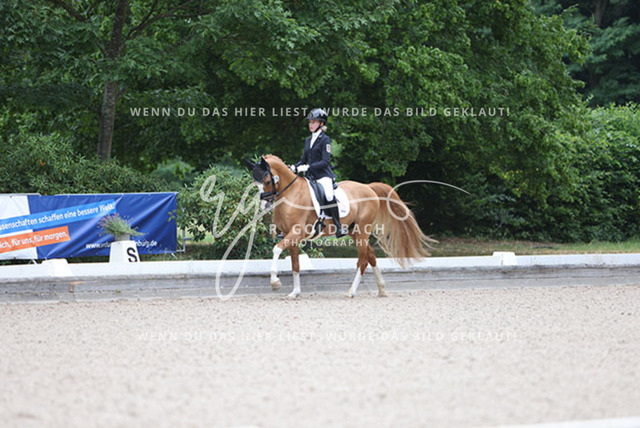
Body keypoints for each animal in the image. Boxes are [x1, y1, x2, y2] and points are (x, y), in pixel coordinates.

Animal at [244, 155, 434, 298]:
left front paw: (275, 283)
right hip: (354, 232)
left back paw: (351, 292)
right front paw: (295, 292)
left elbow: (276, 249)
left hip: (362, 231)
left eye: (267, 181)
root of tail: (369, 187)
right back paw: (381, 289)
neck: (292, 194)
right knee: (371, 255)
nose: (265, 205)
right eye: (255, 183)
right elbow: (295, 264)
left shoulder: (297, 232)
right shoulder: (290, 235)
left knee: (363, 260)